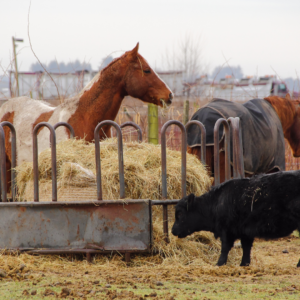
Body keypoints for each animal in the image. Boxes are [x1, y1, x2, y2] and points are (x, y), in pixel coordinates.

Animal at [171, 170, 300, 266]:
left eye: (180, 214)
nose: (172, 230)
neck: (217, 202)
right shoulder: (246, 232)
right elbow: (246, 248)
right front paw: (244, 264)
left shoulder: (226, 231)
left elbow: (225, 248)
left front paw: (219, 263)